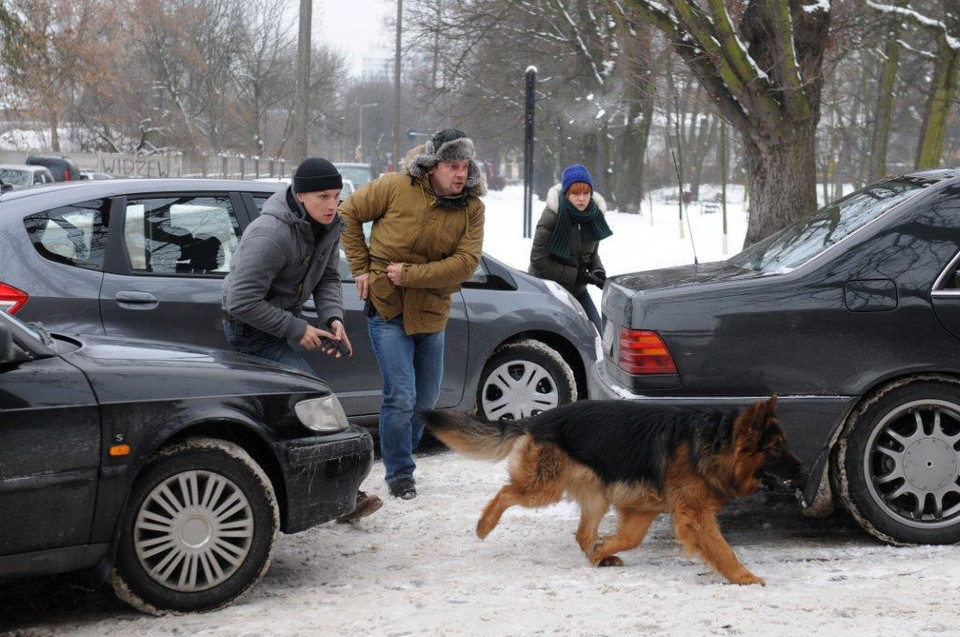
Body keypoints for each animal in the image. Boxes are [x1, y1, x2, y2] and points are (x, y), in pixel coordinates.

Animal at [424, 398, 808, 588]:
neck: (715, 445)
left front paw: (603, 551)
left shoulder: (644, 509)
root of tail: (539, 418)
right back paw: (483, 525)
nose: (804, 470)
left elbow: (629, 539)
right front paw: (744, 577)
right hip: (543, 487)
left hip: (597, 495)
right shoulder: (694, 514)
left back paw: (598, 557)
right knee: (506, 492)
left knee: (581, 533)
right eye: (776, 449)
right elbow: (721, 549)